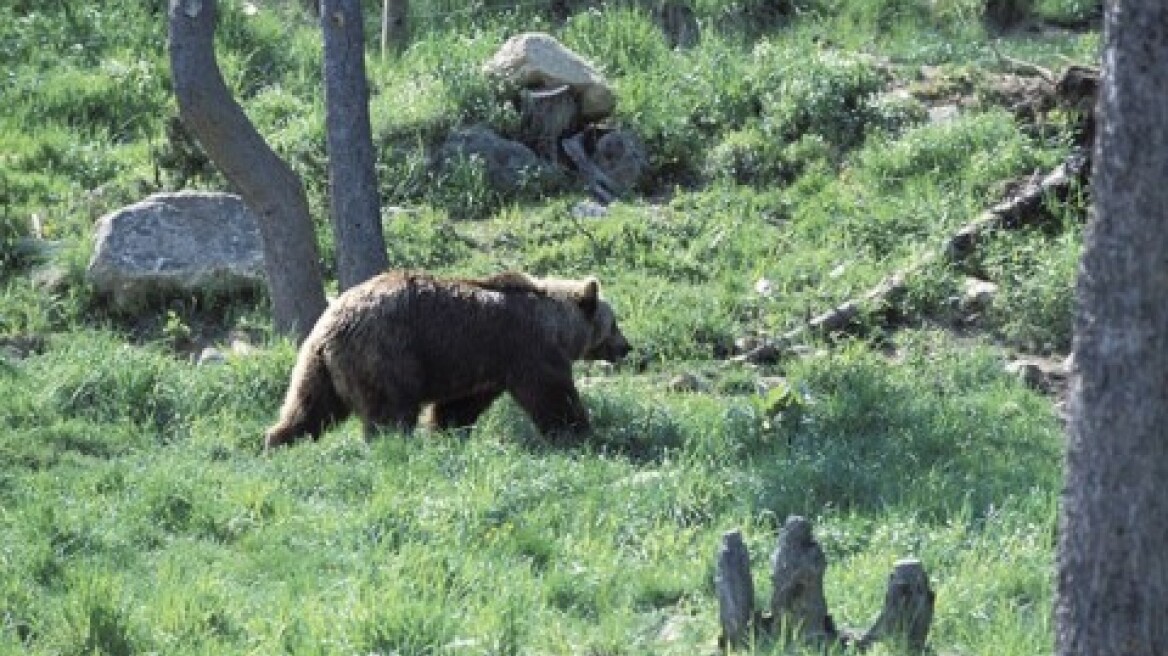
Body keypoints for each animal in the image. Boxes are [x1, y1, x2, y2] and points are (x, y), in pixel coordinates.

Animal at [263, 268, 630, 445]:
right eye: (614, 323)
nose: (627, 346)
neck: (557, 327)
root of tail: (330, 325)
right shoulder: (526, 350)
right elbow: (552, 394)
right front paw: (579, 432)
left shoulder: (484, 366)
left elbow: (459, 406)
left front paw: (446, 431)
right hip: (388, 353)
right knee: (390, 410)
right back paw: (391, 445)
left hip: (318, 366)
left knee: (310, 407)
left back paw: (279, 442)